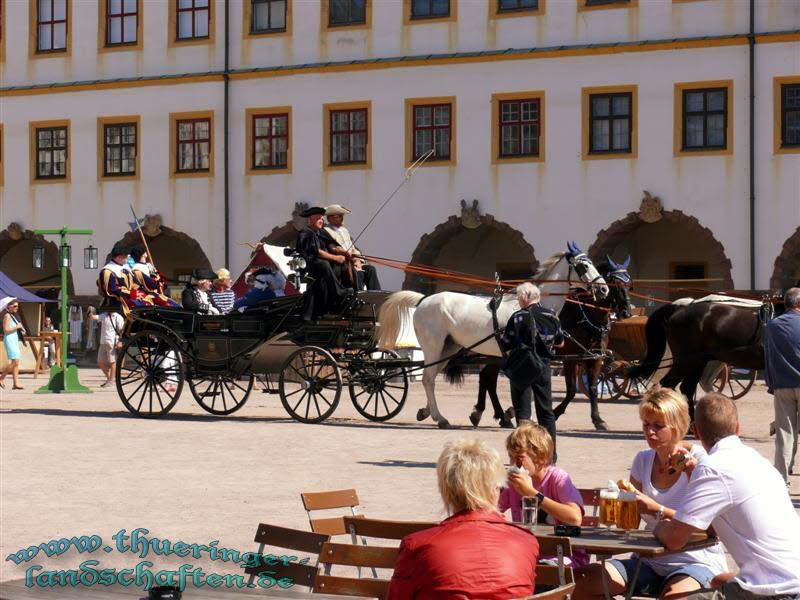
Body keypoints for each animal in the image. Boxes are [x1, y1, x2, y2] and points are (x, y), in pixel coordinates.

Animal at [378, 241, 608, 428]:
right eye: (584, 266)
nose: (604, 289)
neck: (531, 306)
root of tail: (424, 299)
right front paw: (511, 414)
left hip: (448, 348)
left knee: (431, 377)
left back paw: (428, 412)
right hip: (433, 345)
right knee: (428, 378)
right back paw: (440, 418)